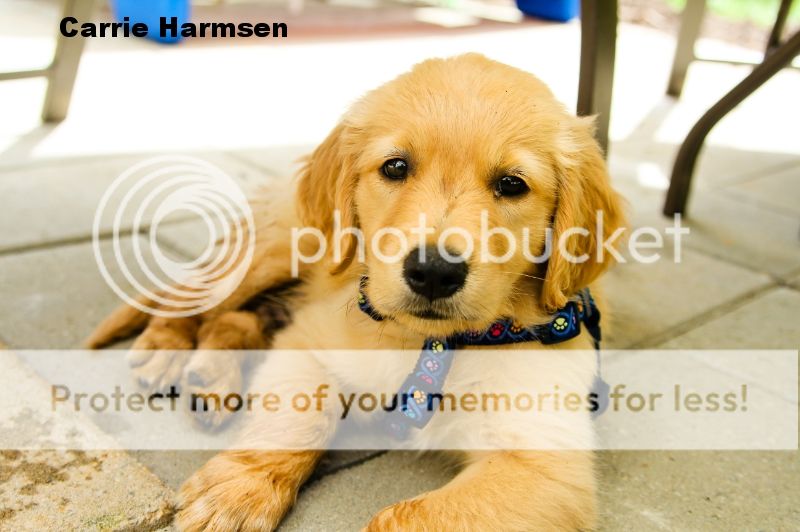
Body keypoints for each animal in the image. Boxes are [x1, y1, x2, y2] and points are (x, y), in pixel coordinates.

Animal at [88, 53, 625, 531]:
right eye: (395, 167)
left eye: (512, 185)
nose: (434, 272)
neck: (428, 344)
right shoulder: (308, 342)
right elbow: (298, 420)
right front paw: (239, 489)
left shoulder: (544, 467)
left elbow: (405, 517)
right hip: (279, 252)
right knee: (201, 296)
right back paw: (166, 350)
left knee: (236, 319)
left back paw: (212, 380)